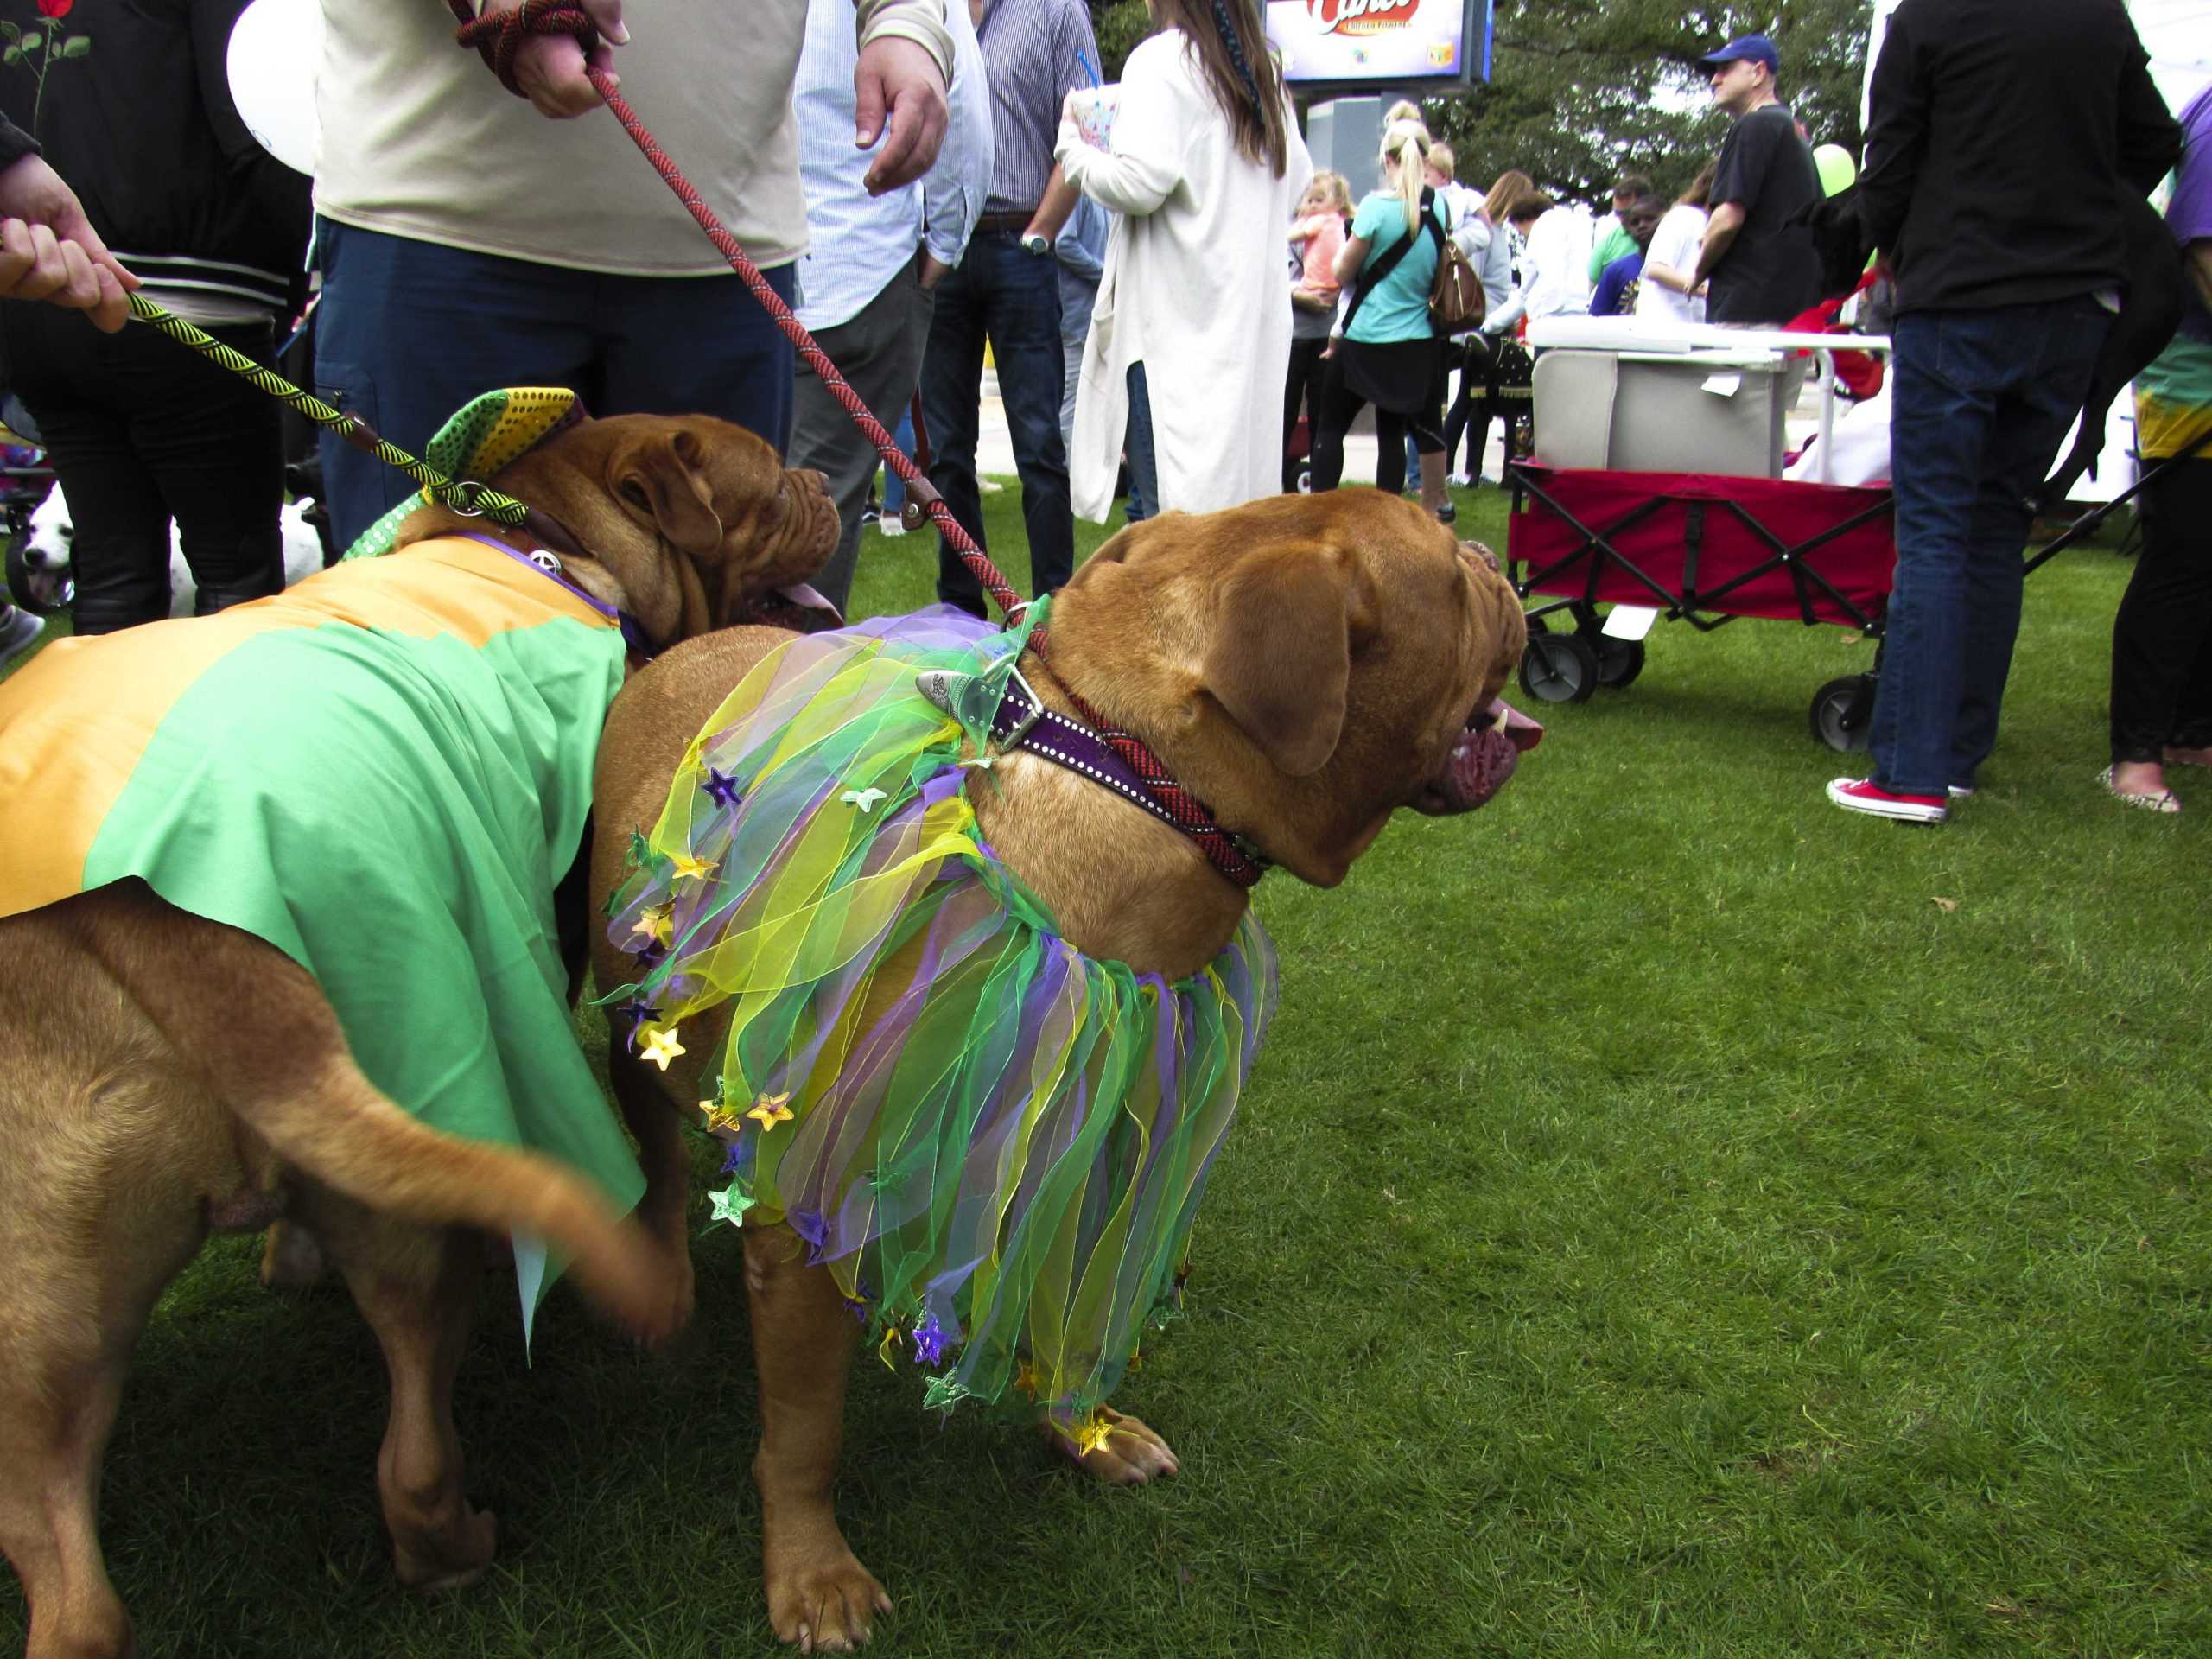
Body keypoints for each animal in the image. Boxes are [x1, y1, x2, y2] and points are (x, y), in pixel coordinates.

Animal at [597, 486, 1548, 1654]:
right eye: (1453, 579)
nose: (1496, 557)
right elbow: (806, 1430)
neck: (1134, 773)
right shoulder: (804, 1226)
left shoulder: (1088, 1158)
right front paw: (814, 1572)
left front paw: (1083, 1432)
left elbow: (1078, 1316)